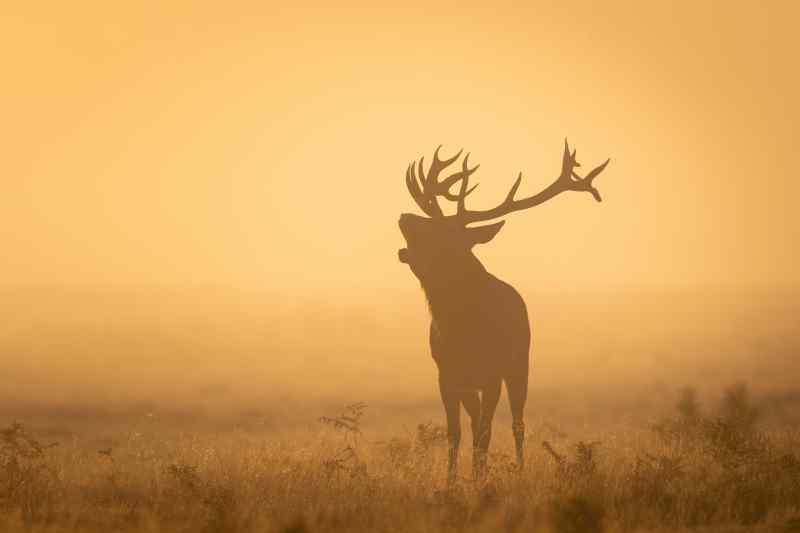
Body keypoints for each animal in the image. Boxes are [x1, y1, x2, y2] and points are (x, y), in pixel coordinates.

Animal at [398, 139, 609, 483]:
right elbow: (455, 433)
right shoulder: (446, 374)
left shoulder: (493, 372)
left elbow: (486, 432)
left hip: (520, 365)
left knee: (516, 423)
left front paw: (479, 479)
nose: (404, 216)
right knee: (475, 423)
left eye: (445, 230)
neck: (459, 327)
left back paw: (518, 468)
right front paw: (452, 481)